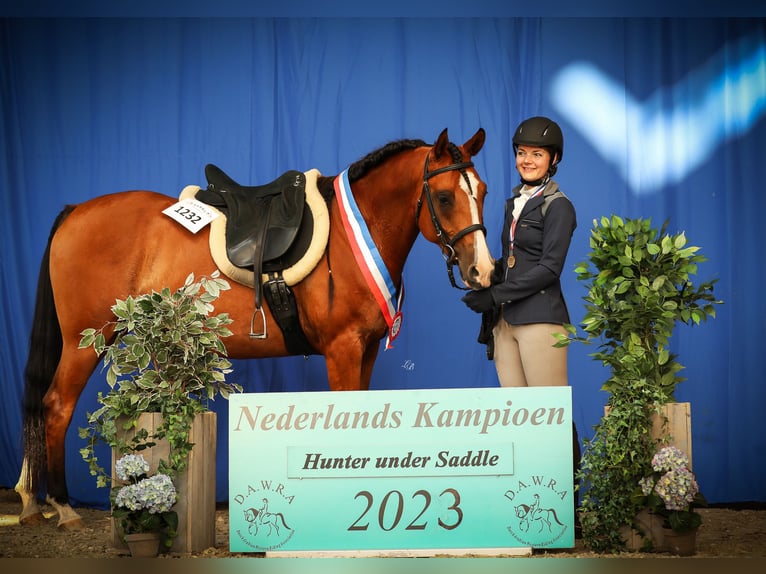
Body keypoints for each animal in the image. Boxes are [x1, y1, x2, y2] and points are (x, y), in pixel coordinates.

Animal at [15, 127, 493, 530]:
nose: (483, 271)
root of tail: (75, 212)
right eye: (445, 197)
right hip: (86, 340)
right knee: (56, 405)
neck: (352, 237)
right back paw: (62, 507)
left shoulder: (368, 350)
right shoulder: (342, 350)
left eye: (483, 192)